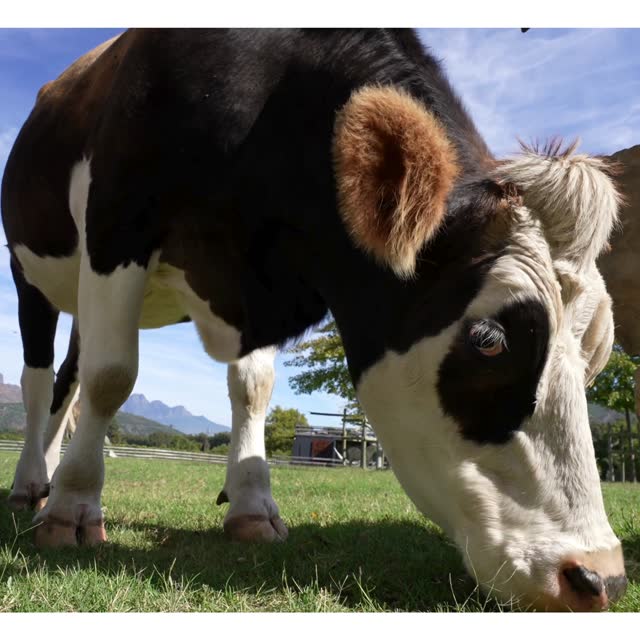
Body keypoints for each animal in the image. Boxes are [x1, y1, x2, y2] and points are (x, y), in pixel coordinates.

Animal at [0, 29, 627, 611]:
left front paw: (252, 506)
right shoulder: (118, 223)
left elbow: (252, 388)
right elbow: (112, 377)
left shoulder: (261, 280)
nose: (600, 577)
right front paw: (74, 509)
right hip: (32, 273)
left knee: (68, 381)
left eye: (598, 355)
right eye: (490, 339)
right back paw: (31, 484)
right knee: (41, 383)